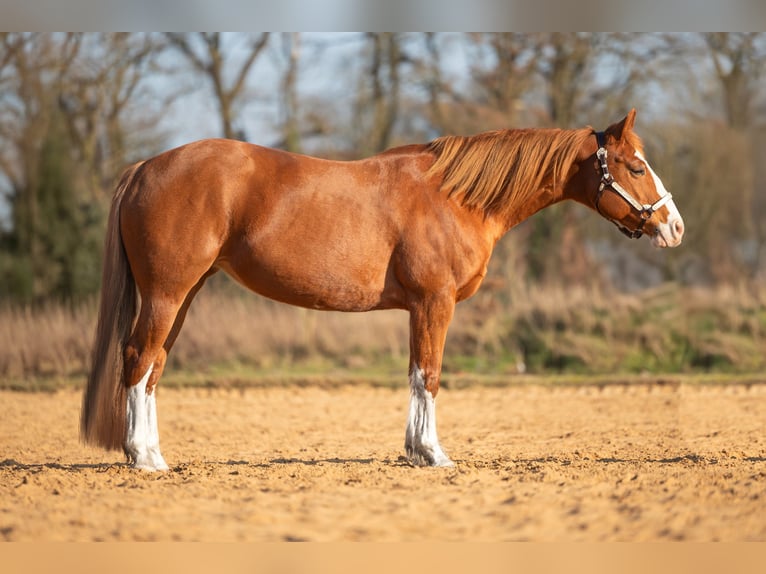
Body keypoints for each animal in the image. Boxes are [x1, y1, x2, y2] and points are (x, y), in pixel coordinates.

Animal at [81, 109, 688, 472]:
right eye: (635, 167)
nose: (675, 227)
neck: (457, 197)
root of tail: (145, 167)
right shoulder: (434, 303)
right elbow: (431, 374)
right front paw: (433, 454)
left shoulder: (420, 308)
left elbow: (417, 373)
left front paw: (415, 451)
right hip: (167, 294)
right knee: (137, 359)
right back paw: (142, 458)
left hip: (183, 296)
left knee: (153, 367)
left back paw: (155, 455)